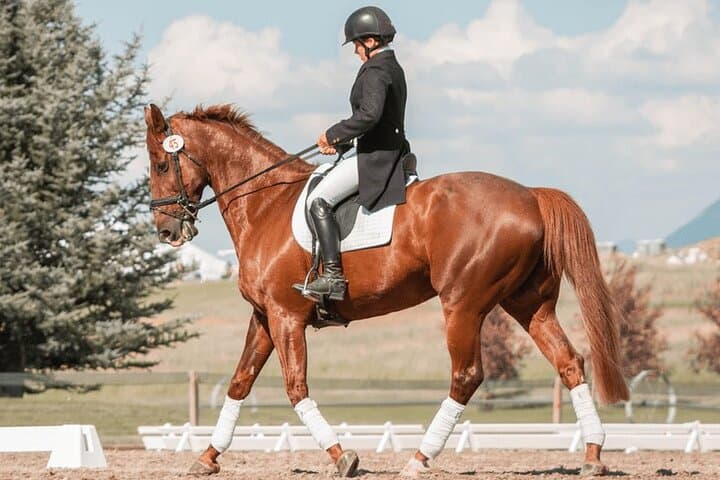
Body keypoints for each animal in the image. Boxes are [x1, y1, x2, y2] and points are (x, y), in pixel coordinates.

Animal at [144, 103, 629, 477]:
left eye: (162, 164)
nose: (167, 231)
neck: (265, 203)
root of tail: (530, 195)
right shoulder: (264, 316)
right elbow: (240, 382)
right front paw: (207, 458)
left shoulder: (286, 316)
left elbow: (295, 387)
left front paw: (343, 457)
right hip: (529, 304)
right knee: (569, 362)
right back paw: (593, 455)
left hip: (463, 305)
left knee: (466, 376)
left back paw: (419, 459)